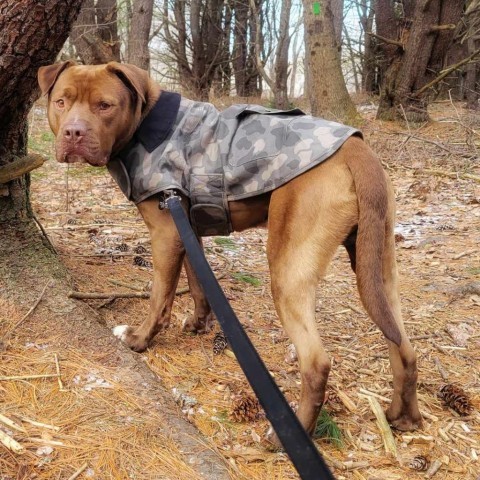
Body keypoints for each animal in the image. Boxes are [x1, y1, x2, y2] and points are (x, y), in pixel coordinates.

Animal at [36, 62, 420, 444]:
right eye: (60, 101)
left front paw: (140, 339)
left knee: (316, 361)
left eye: (105, 105)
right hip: (378, 264)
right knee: (402, 344)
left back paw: (289, 434)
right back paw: (403, 417)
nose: (73, 132)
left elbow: (160, 295)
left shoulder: (165, 233)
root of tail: (356, 148)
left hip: (289, 269)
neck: (146, 124)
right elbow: (198, 283)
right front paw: (198, 323)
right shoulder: (187, 230)